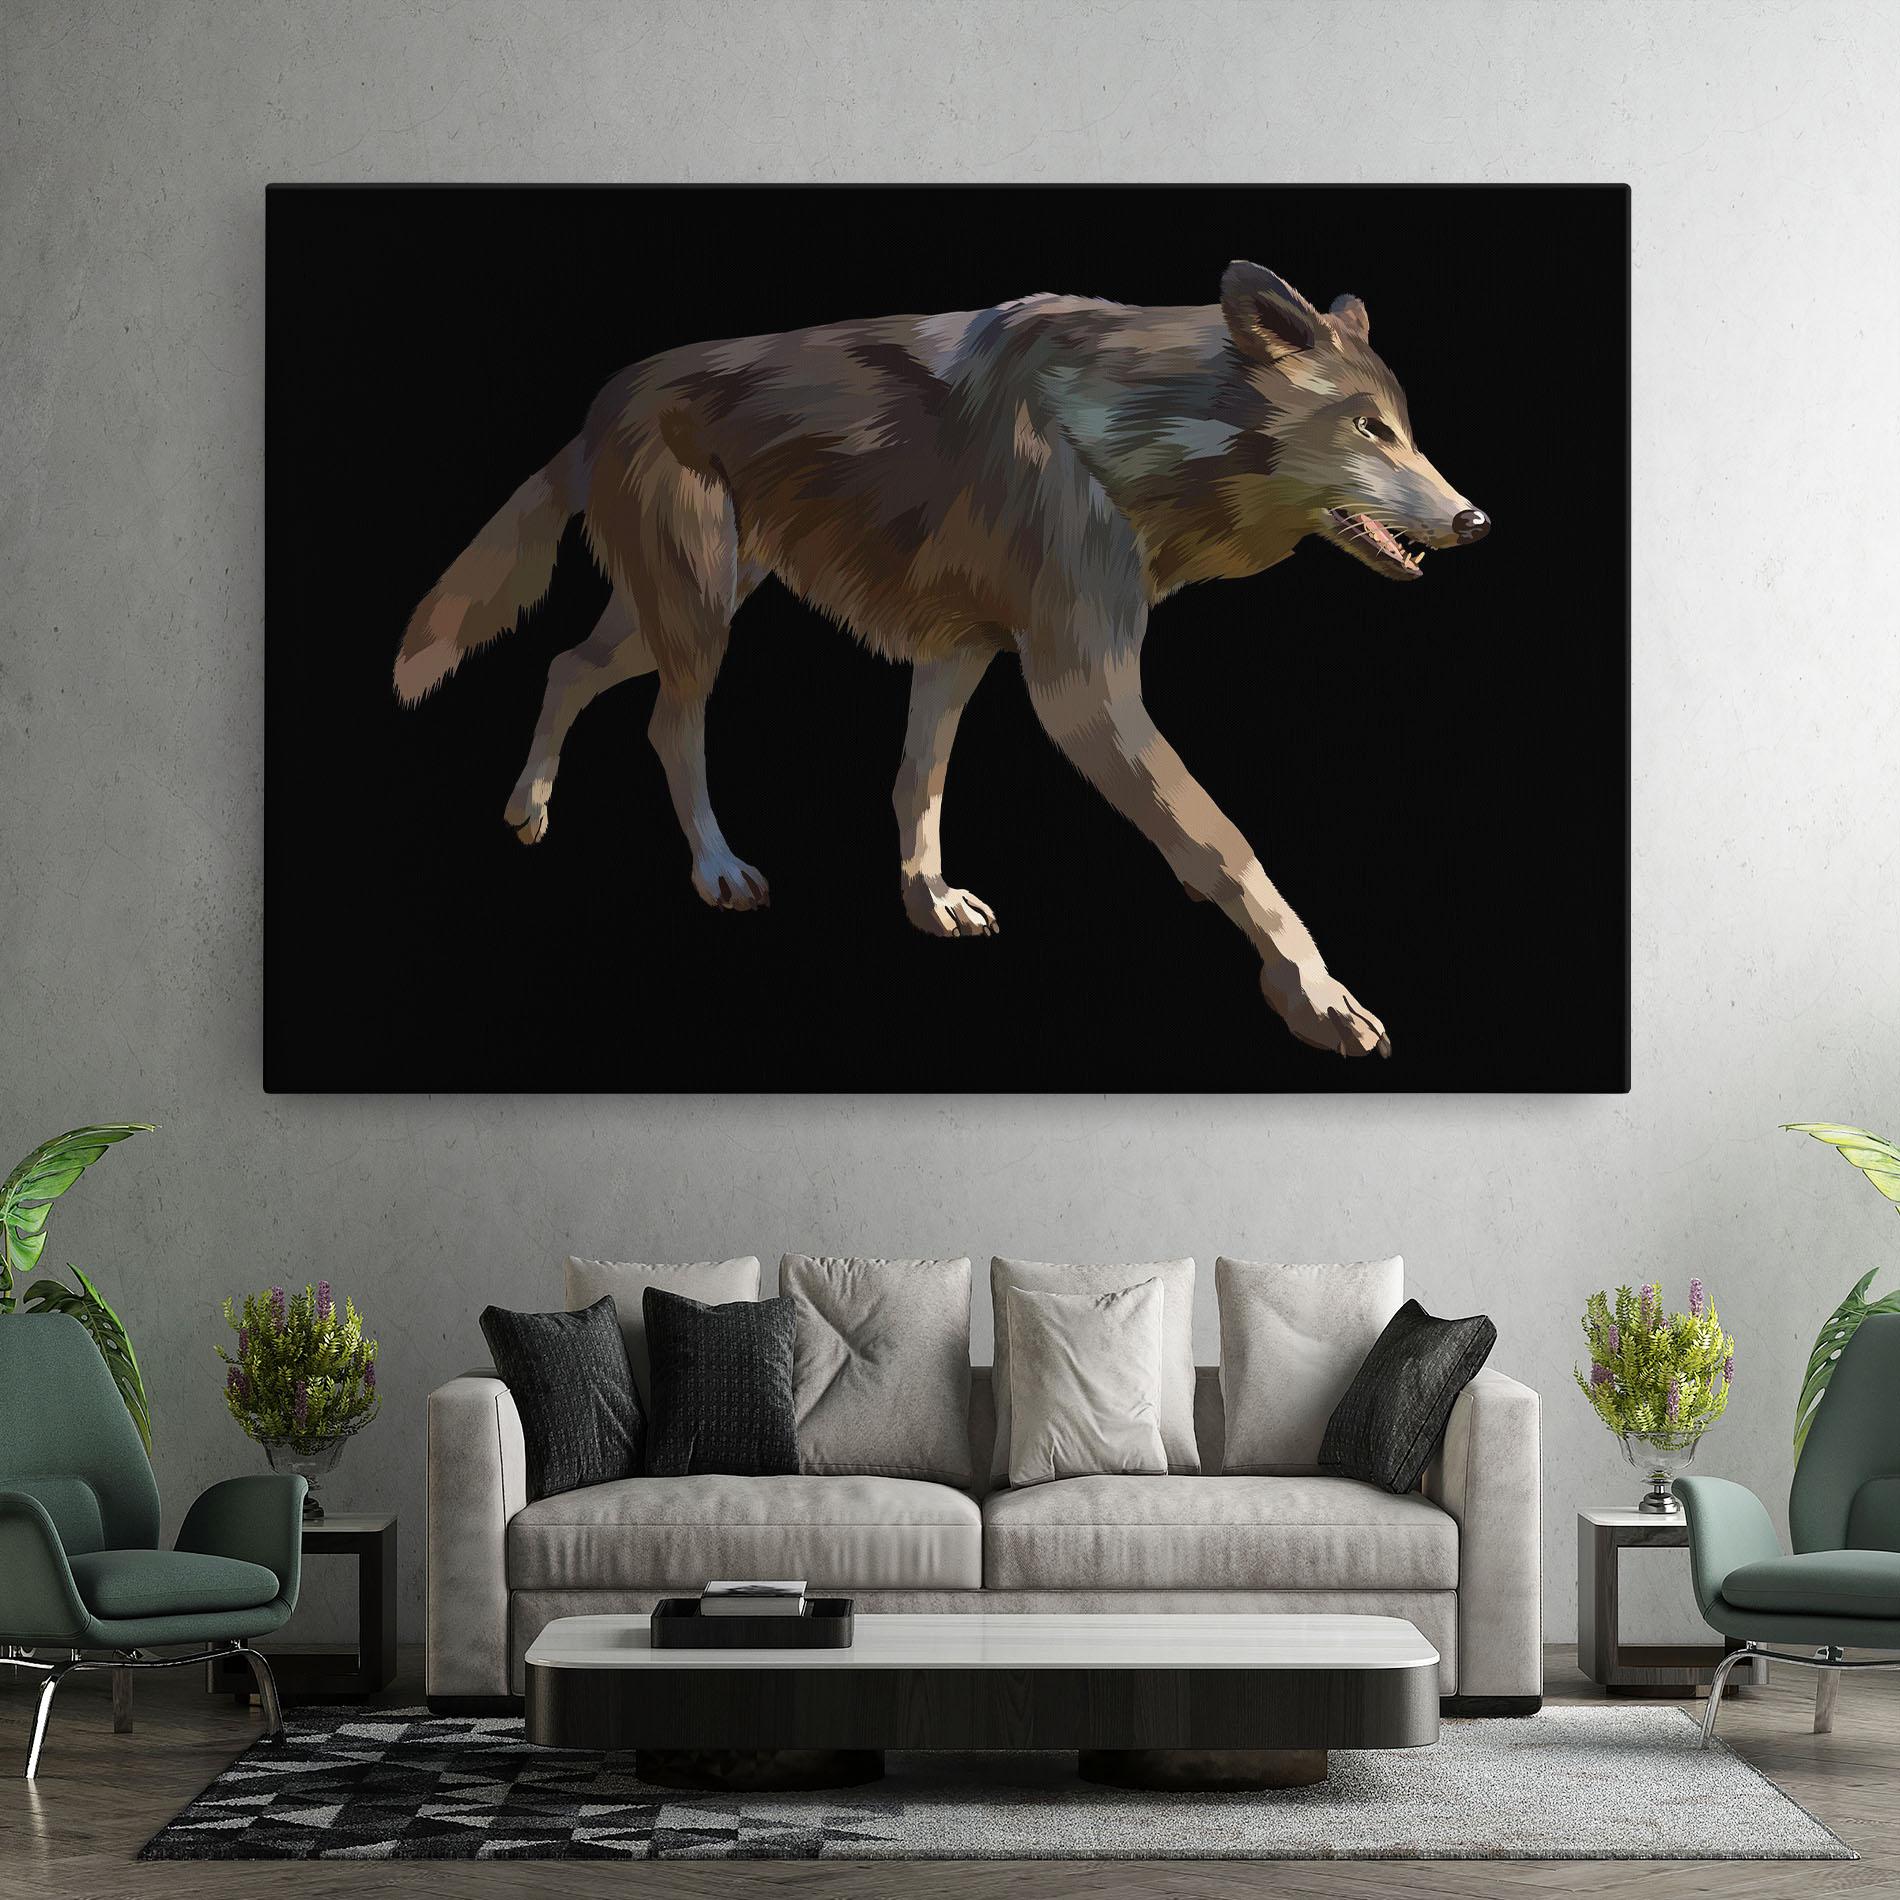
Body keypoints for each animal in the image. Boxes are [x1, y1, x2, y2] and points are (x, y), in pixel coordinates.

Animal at [394, 260, 1488, 1058]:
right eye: (1368, 428)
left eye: (1407, 430)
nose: (1476, 521)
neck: (1129, 433)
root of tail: (603, 396)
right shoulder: (1080, 689)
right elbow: (1227, 845)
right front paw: (1318, 997)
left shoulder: (958, 652)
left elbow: (917, 783)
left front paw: (928, 903)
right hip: (699, 619)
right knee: (667, 723)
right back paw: (715, 869)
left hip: (673, 613)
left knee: (565, 666)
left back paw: (529, 809)